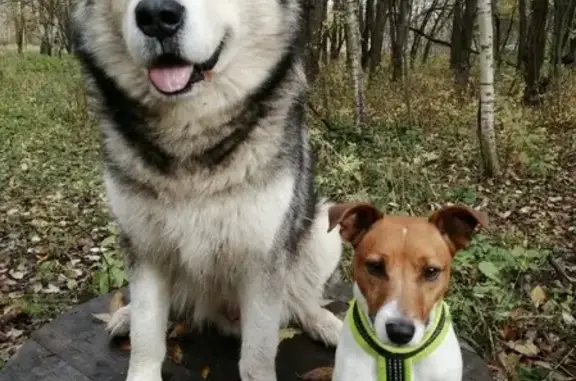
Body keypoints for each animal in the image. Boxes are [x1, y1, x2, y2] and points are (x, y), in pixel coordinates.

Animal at [71, 0, 342, 380]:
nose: (157, 16)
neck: (189, 135)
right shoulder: (145, 248)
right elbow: (146, 333)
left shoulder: (262, 260)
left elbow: (258, 354)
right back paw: (125, 315)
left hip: (323, 230)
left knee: (301, 300)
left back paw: (325, 323)